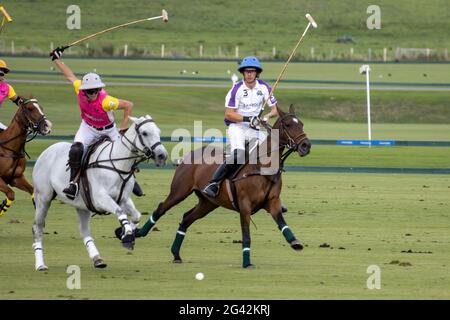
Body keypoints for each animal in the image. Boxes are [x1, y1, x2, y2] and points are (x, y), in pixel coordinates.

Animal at [31, 115, 168, 270]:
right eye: (145, 133)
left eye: (158, 131)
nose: (162, 155)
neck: (118, 164)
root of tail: (47, 150)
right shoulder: (100, 198)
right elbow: (120, 212)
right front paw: (127, 235)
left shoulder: (124, 198)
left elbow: (136, 216)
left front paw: (124, 234)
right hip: (43, 197)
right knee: (38, 227)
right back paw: (40, 264)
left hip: (82, 205)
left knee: (84, 230)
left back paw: (97, 259)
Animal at [137, 105, 312, 268]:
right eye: (288, 124)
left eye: (302, 124)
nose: (306, 145)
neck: (264, 167)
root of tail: (189, 155)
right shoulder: (245, 205)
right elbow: (246, 234)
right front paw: (247, 262)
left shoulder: (273, 202)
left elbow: (282, 223)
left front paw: (295, 242)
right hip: (179, 191)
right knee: (161, 208)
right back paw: (139, 233)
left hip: (208, 203)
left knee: (186, 218)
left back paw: (176, 254)